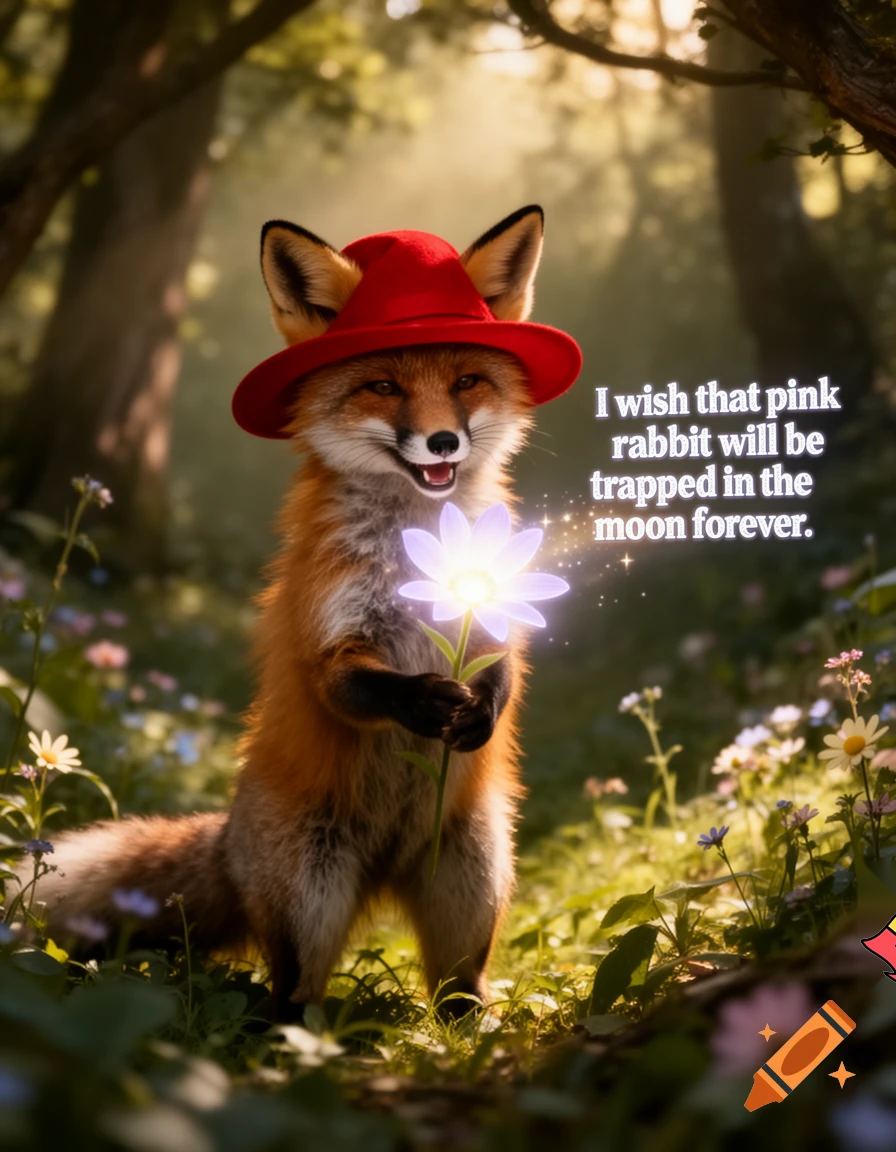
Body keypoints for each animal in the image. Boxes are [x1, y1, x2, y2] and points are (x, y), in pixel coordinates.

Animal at [28, 206, 554, 1019]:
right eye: (382, 385)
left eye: (467, 381)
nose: (442, 440)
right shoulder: (330, 639)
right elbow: (360, 685)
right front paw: (427, 701)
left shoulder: (500, 618)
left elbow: (507, 672)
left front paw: (481, 709)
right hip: (312, 892)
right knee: (289, 995)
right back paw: (290, 1032)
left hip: (475, 879)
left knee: (455, 987)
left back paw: (474, 1025)